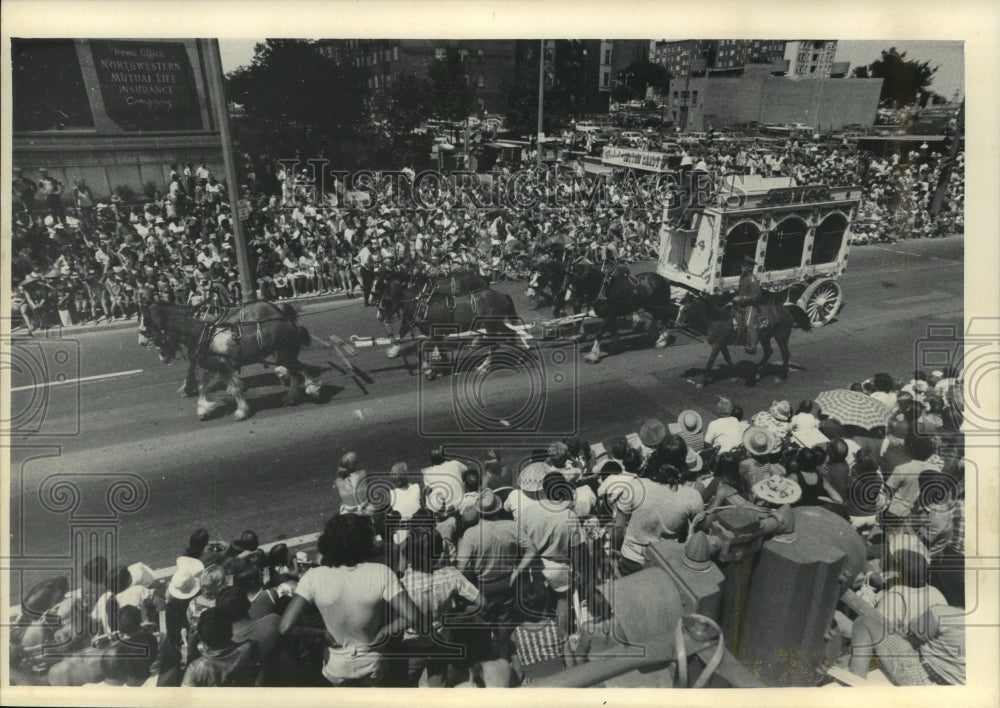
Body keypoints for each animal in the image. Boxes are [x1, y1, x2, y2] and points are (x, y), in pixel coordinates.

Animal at [138, 294, 320, 418]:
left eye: (146, 324)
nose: (141, 342)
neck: (201, 334)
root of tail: (290, 323)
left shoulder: (222, 368)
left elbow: (233, 388)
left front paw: (241, 411)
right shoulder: (213, 367)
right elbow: (203, 386)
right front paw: (203, 408)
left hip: (285, 355)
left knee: (301, 369)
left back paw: (312, 388)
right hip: (283, 355)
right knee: (295, 373)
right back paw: (290, 396)